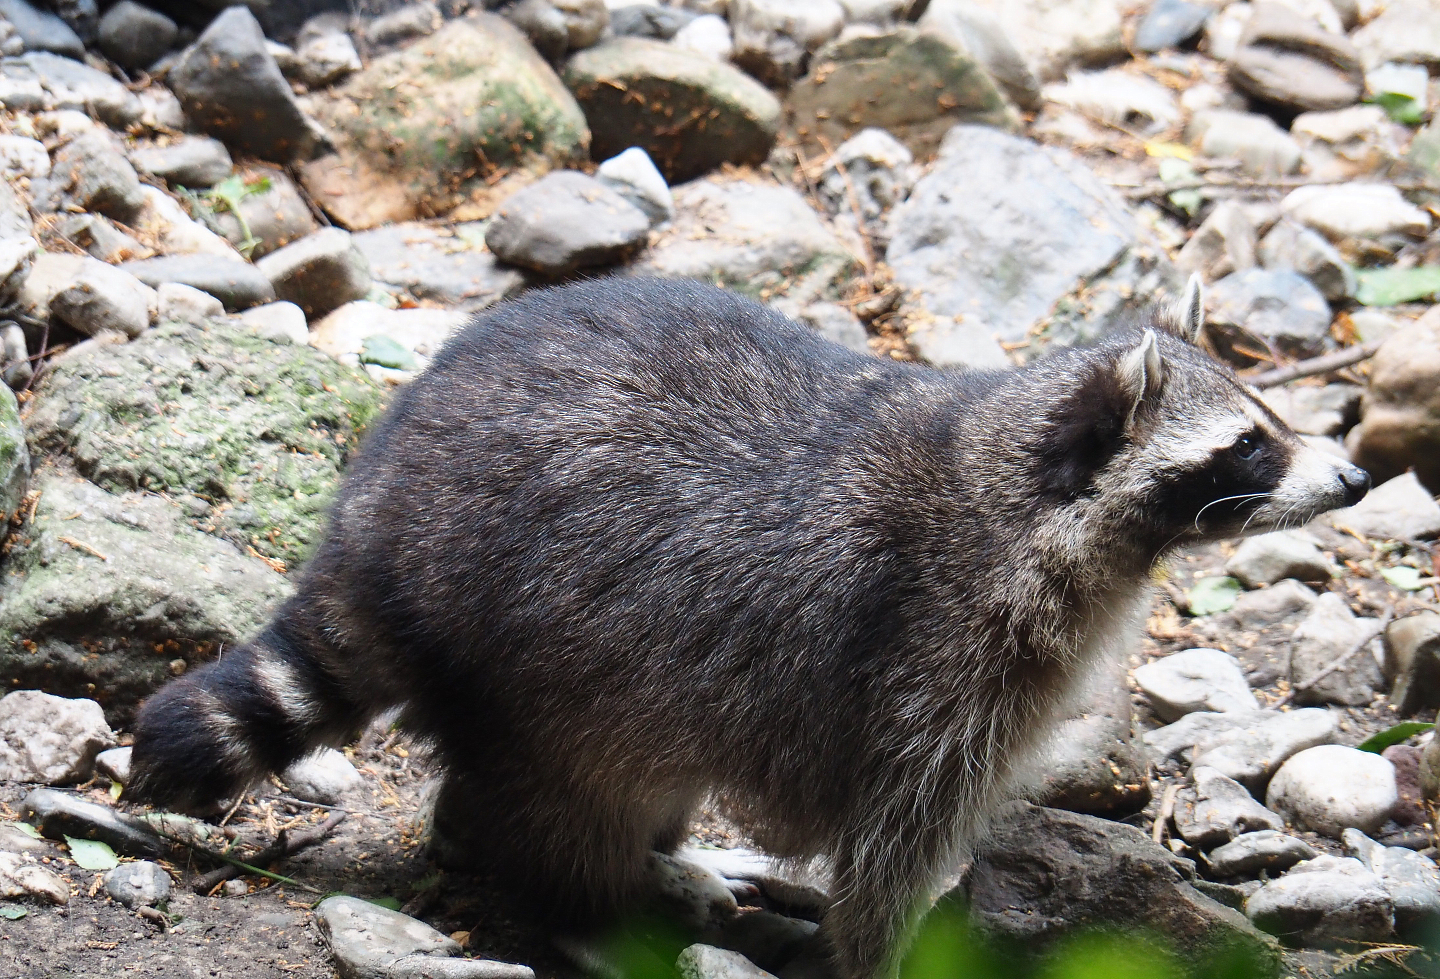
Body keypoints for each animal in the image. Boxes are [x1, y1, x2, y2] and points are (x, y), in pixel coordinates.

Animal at [129, 275, 1368, 979]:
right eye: (1248, 446)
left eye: (1274, 414)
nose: (1356, 476)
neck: (1017, 480)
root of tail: (372, 514)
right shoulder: (924, 651)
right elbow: (891, 844)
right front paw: (881, 955)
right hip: (539, 647)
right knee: (568, 792)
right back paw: (587, 905)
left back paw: (654, 856)